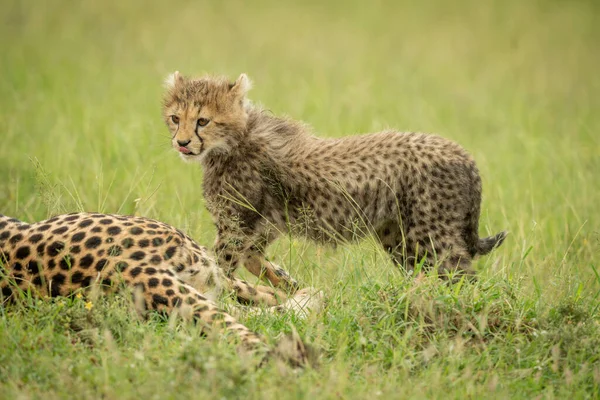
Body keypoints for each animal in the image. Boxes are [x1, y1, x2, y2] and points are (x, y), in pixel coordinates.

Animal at [163, 71, 506, 284]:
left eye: (203, 121)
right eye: (175, 118)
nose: (182, 143)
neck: (234, 141)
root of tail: (461, 152)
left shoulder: (237, 226)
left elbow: (219, 265)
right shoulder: (261, 225)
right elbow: (253, 260)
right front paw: (289, 285)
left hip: (433, 235)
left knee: (462, 276)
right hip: (399, 236)